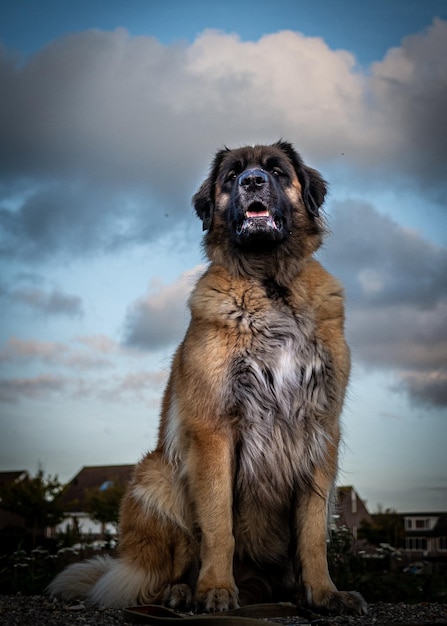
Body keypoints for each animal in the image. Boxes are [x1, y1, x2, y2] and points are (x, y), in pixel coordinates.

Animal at [49, 143, 370, 616]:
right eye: (232, 175)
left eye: (277, 170)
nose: (252, 181)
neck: (269, 282)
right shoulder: (214, 428)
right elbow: (219, 523)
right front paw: (216, 588)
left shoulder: (320, 429)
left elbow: (312, 533)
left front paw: (324, 592)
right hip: (157, 476)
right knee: (165, 570)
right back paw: (182, 592)